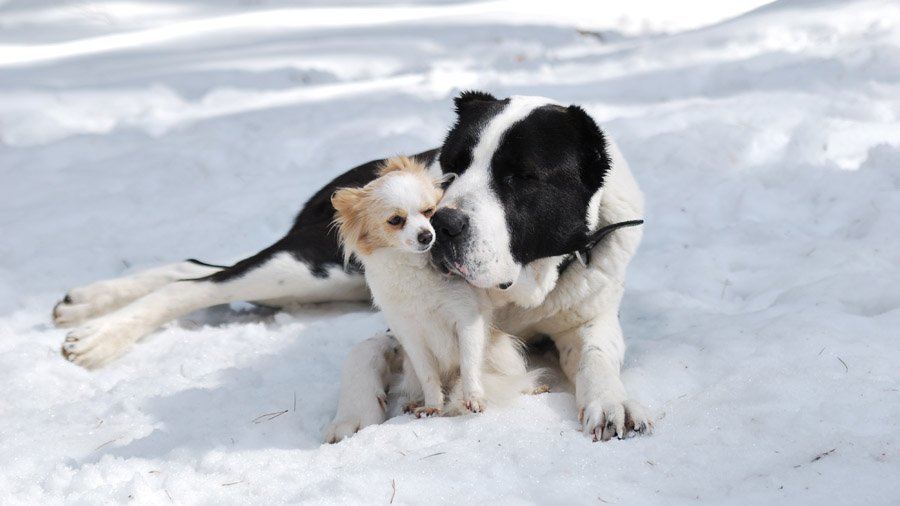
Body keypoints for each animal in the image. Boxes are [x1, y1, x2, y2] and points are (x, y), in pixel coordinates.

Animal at [332, 154, 536, 422]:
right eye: (395, 220)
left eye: (429, 212)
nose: (427, 235)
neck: (415, 272)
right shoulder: (412, 338)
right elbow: (428, 376)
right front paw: (432, 406)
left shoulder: (466, 321)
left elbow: (469, 364)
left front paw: (473, 398)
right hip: (409, 368)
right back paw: (416, 403)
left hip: (501, 352)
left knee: (513, 375)